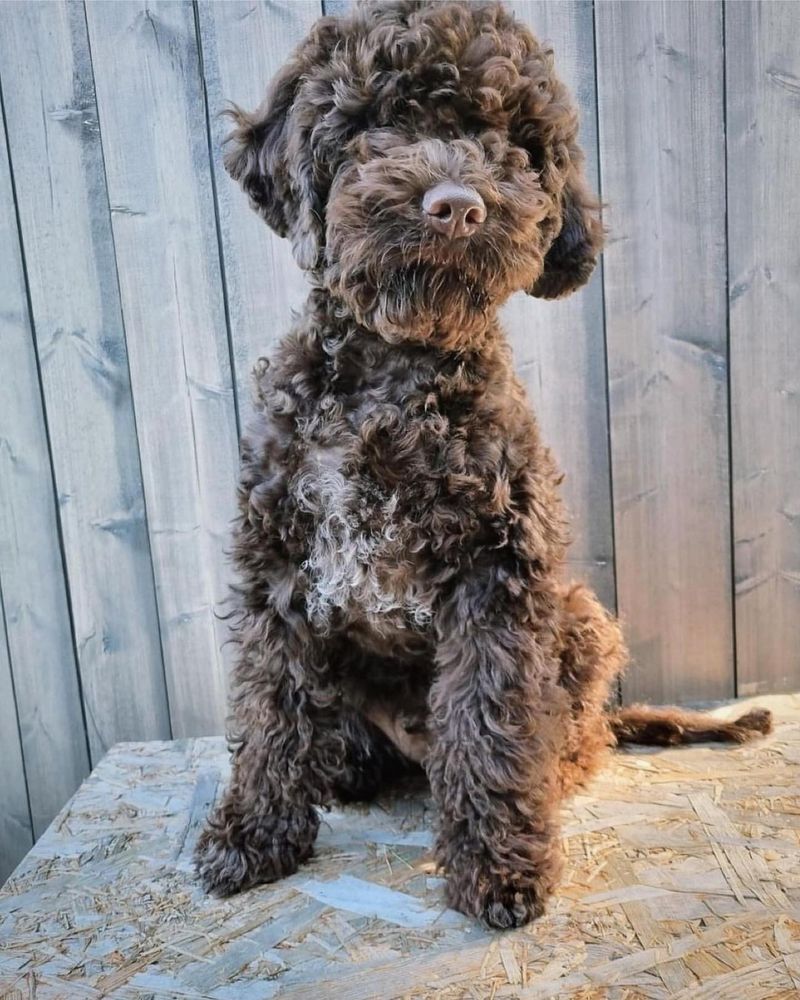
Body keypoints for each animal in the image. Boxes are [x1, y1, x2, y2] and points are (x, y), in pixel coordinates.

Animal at [195, 0, 776, 928]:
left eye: (514, 144)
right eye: (380, 121)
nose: (457, 206)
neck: (394, 380)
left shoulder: (499, 572)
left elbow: (488, 719)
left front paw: (497, 866)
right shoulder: (278, 567)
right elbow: (268, 705)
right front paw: (251, 835)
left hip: (581, 615)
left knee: (577, 732)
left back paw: (552, 773)